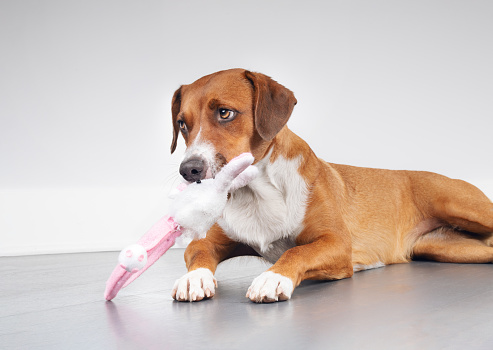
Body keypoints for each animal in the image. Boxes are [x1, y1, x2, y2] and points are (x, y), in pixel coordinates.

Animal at [168, 69, 488, 304]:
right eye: (183, 124)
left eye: (225, 113)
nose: (189, 170)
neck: (259, 191)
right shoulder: (209, 241)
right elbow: (198, 251)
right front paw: (194, 278)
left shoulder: (336, 243)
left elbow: (296, 252)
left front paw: (274, 277)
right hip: (447, 248)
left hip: (458, 206)